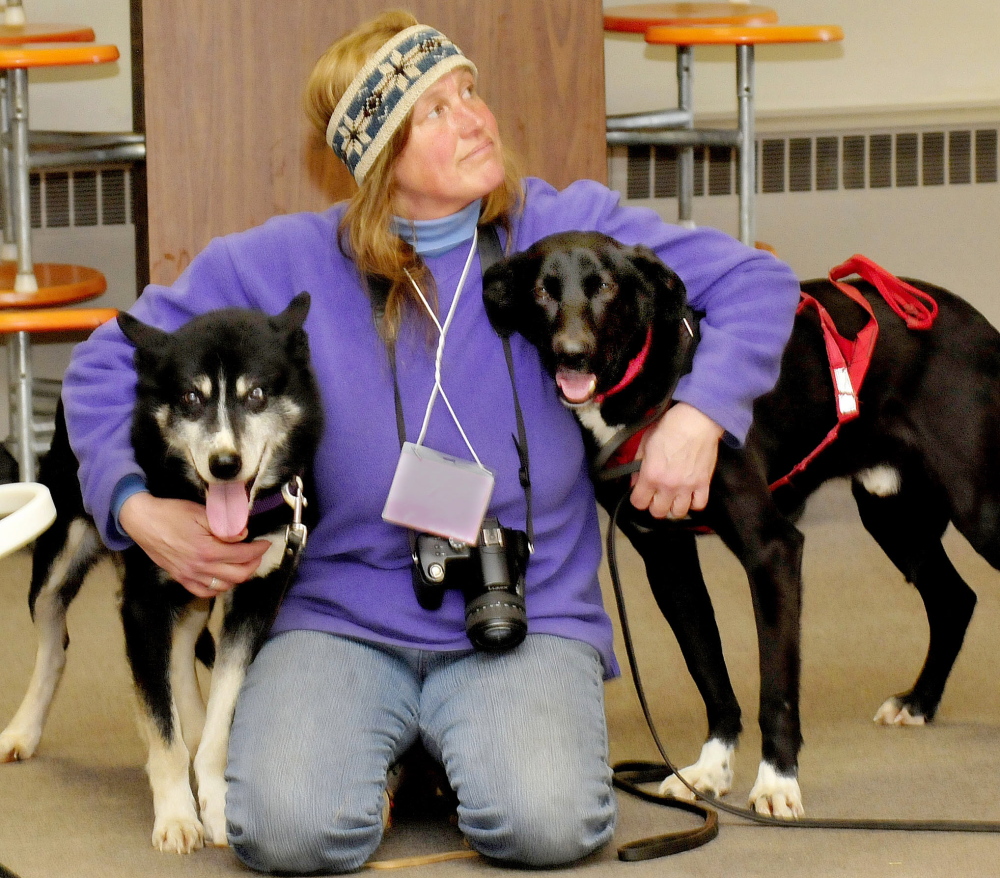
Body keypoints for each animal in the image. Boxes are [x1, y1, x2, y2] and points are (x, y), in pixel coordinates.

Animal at [0, 296, 320, 852]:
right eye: (191, 397)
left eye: (257, 394)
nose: (224, 463)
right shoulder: (142, 604)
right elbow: (159, 726)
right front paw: (175, 815)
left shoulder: (256, 599)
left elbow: (221, 716)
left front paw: (216, 799)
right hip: (57, 553)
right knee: (54, 641)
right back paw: (24, 730)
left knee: (183, 641)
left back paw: (190, 719)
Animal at [484, 232, 1000, 820]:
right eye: (542, 290)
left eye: (606, 287)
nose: (572, 353)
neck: (655, 387)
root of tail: (977, 320)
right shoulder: (666, 558)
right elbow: (708, 671)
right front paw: (711, 769)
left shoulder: (772, 550)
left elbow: (775, 689)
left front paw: (778, 781)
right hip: (892, 513)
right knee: (955, 599)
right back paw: (919, 702)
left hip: (978, 507)